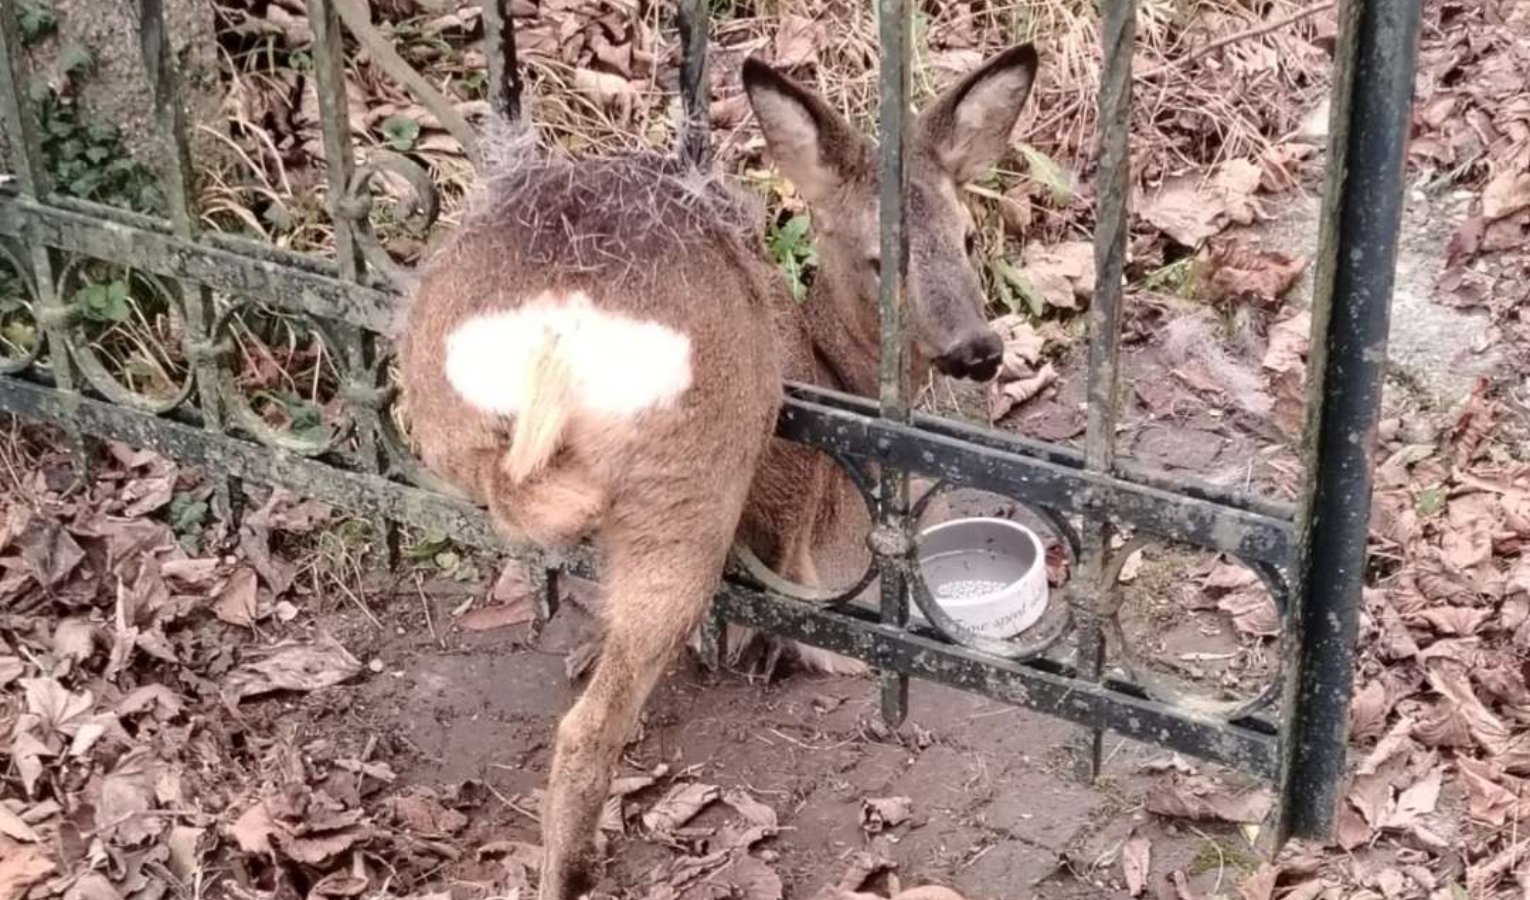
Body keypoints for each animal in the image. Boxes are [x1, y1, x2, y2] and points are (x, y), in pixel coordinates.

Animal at [394, 45, 1040, 900]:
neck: (839, 373)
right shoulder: (821, 548)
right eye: (879, 258)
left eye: (968, 237)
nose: (979, 349)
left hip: (449, 419)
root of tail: (554, 329)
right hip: (687, 486)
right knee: (587, 728)